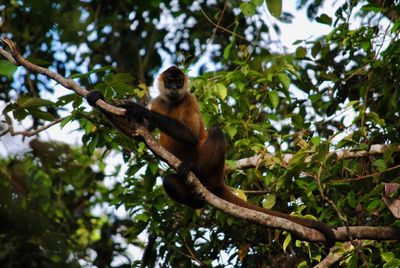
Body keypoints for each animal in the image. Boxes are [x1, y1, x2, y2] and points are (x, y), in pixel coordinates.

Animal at [86, 66, 334, 246]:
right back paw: (196, 200)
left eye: (179, 83)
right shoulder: (158, 101)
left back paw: (197, 173)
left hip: (212, 167)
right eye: (170, 82)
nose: (174, 88)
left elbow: (192, 135)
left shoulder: (189, 99)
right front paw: (97, 97)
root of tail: (217, 179)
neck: (172, 101)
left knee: (213, 131)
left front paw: (138, 109)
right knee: (169, 181)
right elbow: (138, 134)